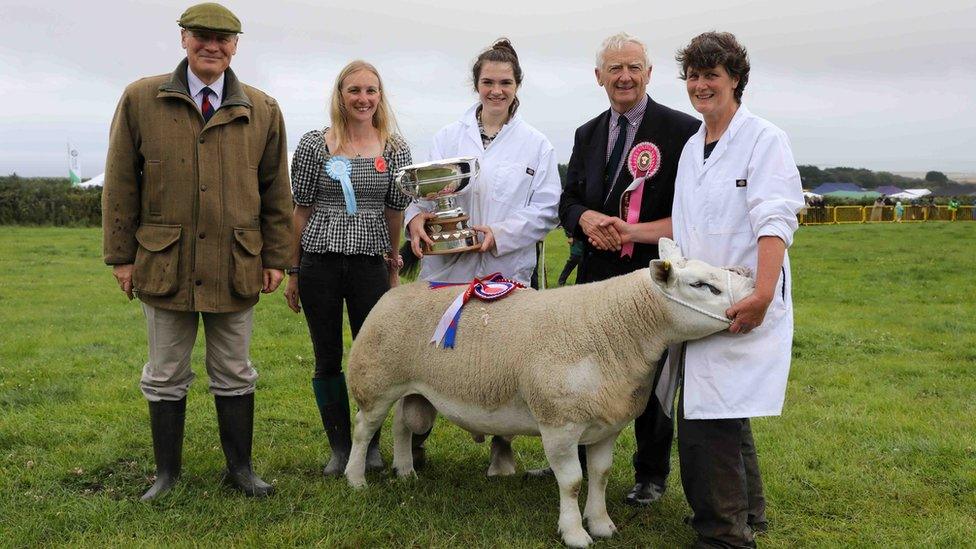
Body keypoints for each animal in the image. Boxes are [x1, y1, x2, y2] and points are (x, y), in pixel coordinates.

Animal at [344, 238, 756, 544]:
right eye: (702, 285)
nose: (754, 288)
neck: (615, 328)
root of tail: (396, 291)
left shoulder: (608, 424)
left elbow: (601, 474)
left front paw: (602, 525)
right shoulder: (559, 423)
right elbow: (572, 482)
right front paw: (574, 533)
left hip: (412, 388)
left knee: (402, 426)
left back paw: (406, 472)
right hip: (376, 380)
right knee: (364, 430)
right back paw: (355, 479)